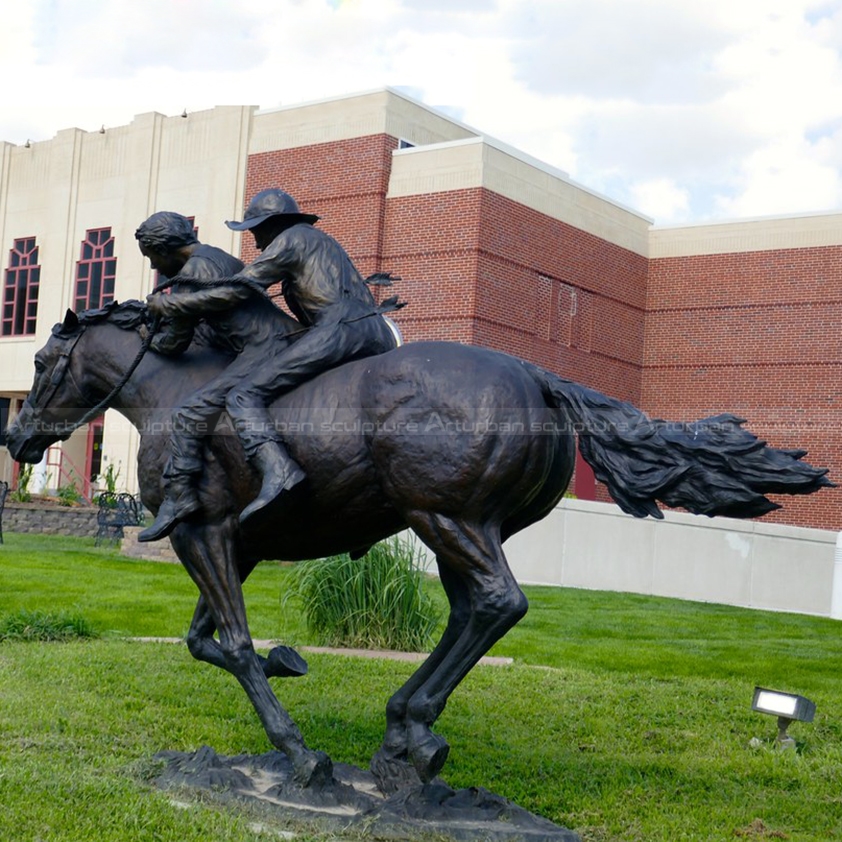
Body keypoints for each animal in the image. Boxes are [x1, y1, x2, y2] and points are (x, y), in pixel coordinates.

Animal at [4, 302, 828, 788]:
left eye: (42, 363)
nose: (17, 439)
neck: (175, 397)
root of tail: (537, 377)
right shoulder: (238, 544)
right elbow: (207, 640)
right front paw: (289, 660)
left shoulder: (198, 533)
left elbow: (230, 645)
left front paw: (300, 752)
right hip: (467, 526)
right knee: (473, 610)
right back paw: (408, 729)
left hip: (446, 517)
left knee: (497, 602)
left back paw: (412, 726)